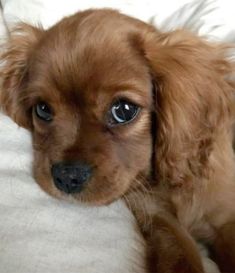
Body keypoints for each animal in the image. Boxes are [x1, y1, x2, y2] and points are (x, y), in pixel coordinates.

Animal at [0, 9, 235, 272]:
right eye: (42, 109)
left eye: (123, 110)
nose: (67, 177)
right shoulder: (156, 215)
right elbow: (181, 256)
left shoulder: (226, 216)